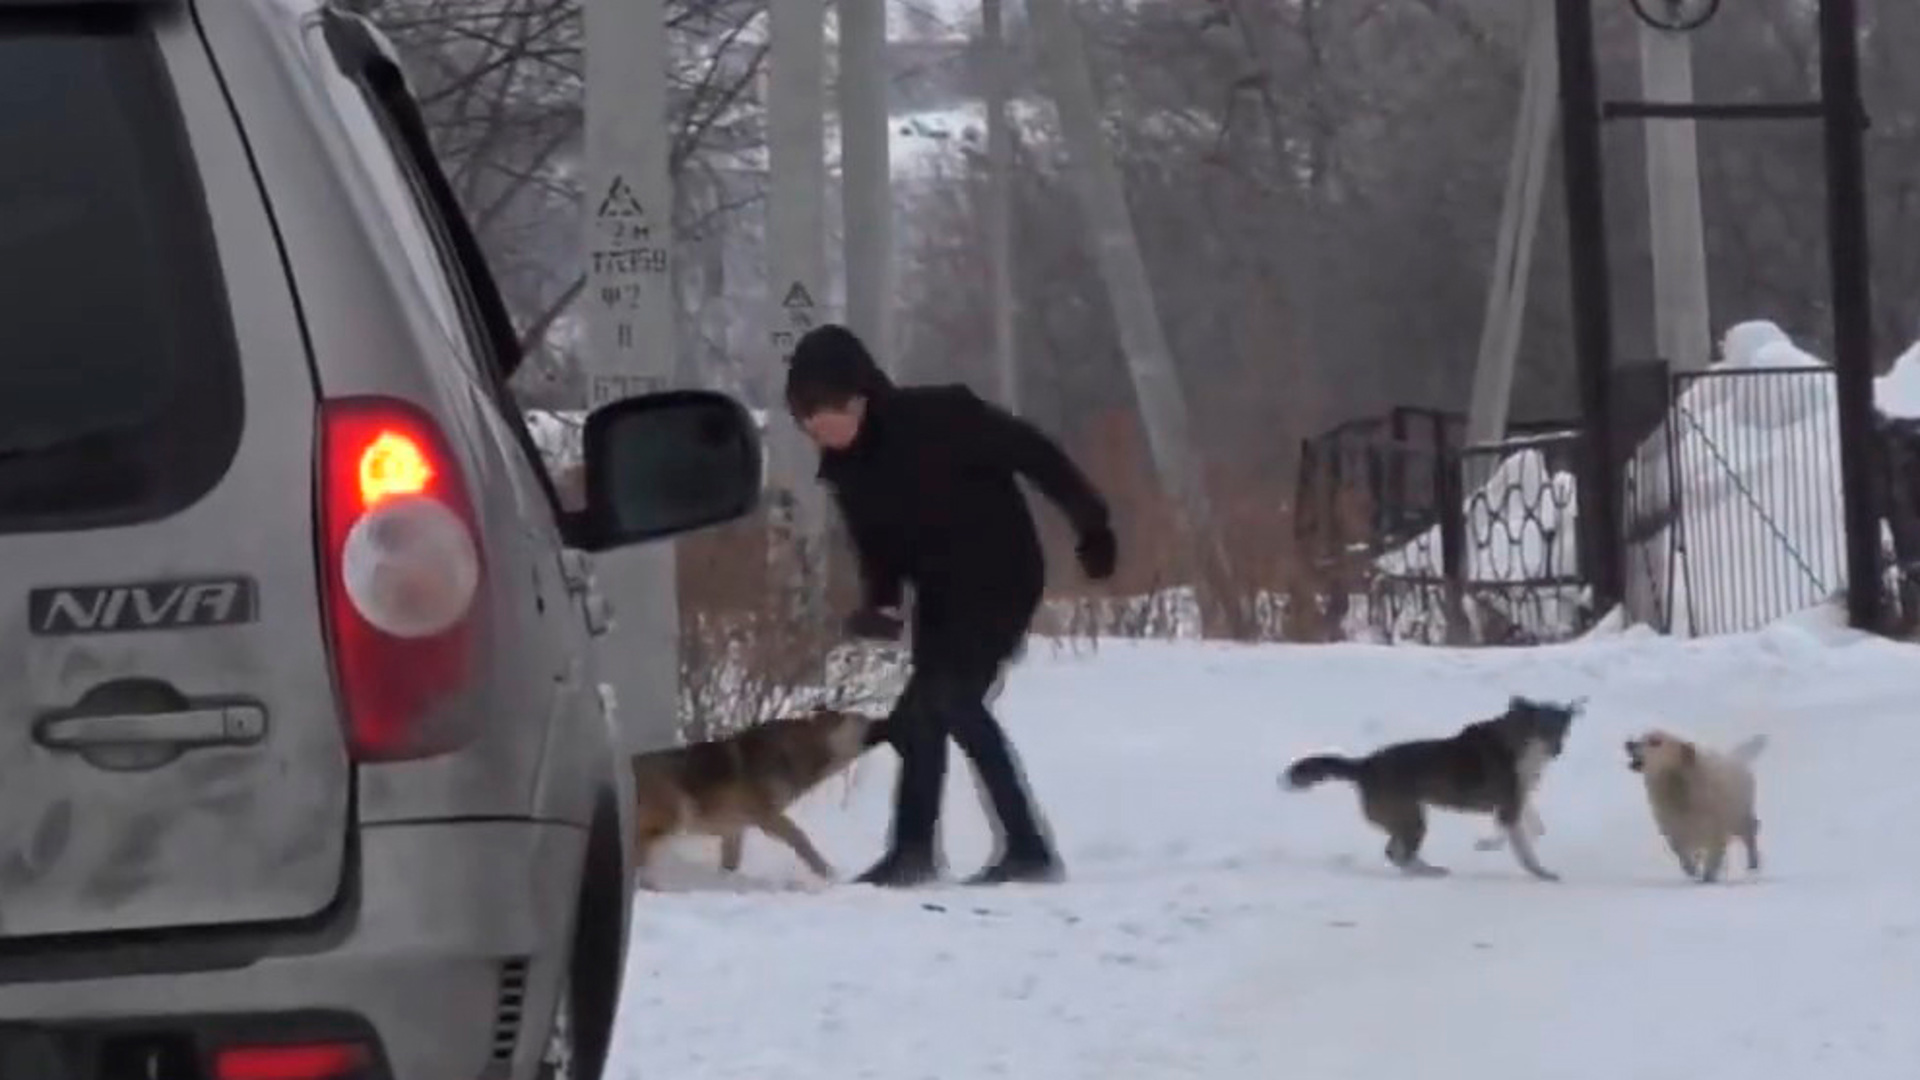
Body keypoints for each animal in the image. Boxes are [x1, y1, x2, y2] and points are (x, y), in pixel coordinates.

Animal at [633, 707, 894, 883]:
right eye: (865, 721)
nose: (886, 720)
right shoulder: (769, 819)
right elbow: (801, 839)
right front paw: (828, 872)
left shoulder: (734, 830)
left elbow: (730, 864)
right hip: (675, 816)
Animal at [1628, 722, 1758, 883]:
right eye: (1640, 737)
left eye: (1656, 741)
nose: (1629, 744)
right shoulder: (1673, 830)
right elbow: (1683, 854)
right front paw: (1692, 871)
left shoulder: (1716, 830)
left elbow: (1713, 858)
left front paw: (1708, 878)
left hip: (1739, 817)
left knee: (1750, 833)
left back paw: (1753, 864)